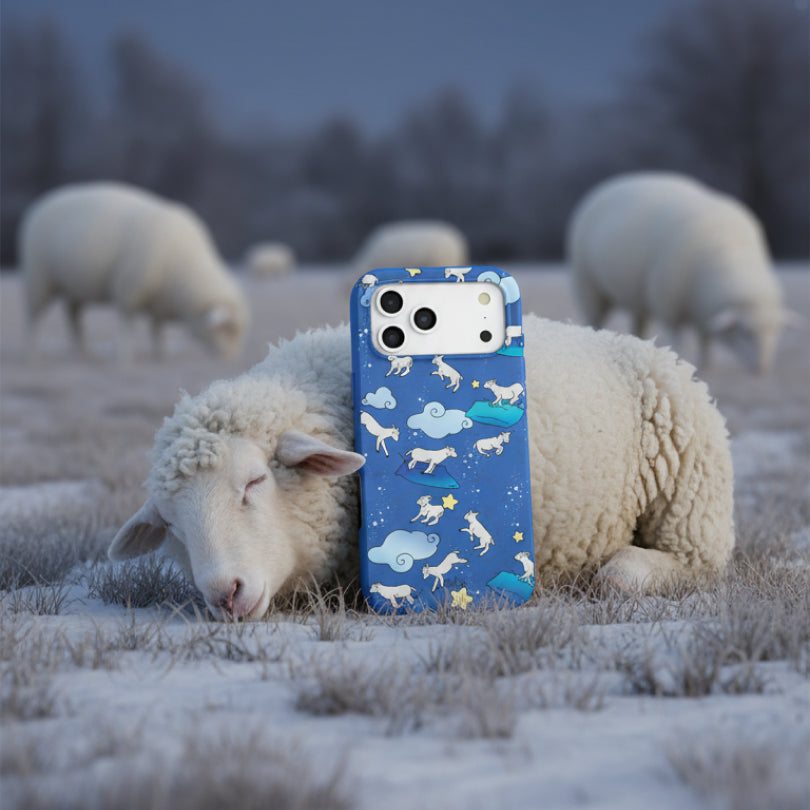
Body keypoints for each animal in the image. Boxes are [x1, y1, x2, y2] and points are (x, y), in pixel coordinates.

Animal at [19, 182, 248, 359]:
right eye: (228, 329)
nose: (231, 358)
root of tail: (41, 202)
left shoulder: (159, 300)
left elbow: (157, 328)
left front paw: (161, 354)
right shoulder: (130, 288)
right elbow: (127, 326)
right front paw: (124, 358)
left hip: (76, 285)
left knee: (74, 316)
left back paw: (83, 351)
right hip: (38, 276)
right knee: (32, 317)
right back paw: (32, 353)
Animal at [567, 171, 793, 373]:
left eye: (775, 331)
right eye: (745, 333)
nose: (761, 367)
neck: (728, 253)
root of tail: (610, 183)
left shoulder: (703, 307)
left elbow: (705, 338)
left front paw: (706, 363)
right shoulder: (669, 304)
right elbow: (677, 337)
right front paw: (679, 359)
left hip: (638, 295)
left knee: (639, 323)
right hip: (588, 284)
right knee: (594, 319)